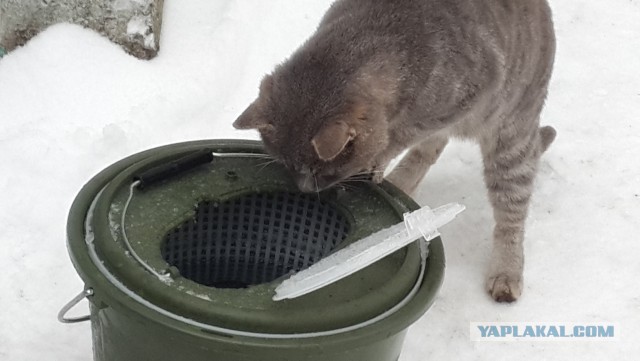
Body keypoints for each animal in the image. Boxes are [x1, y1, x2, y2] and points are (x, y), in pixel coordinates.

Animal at [234, 0, 556, 300]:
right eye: (288, 166)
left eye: (321, 172)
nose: (304, 190)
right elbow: (421, 143)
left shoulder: (464, 97)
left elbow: (401, 136)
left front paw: (378, 159)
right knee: (428, 152)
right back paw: (400, 186)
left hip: (511, 138)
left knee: (511, 215)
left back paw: (506, 273)